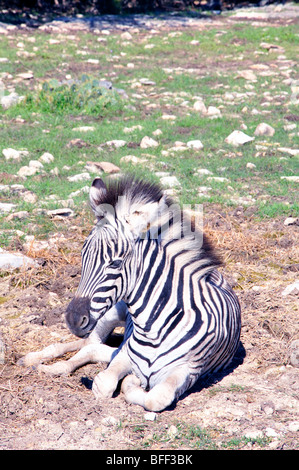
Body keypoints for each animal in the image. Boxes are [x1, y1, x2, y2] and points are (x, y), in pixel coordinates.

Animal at [20, 176, 241, 412]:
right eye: (82, 256)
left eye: (115, 263)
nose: (73, 320)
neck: (152, 329)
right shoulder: (126, 355)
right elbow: (104, 383)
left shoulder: (189, 370)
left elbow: (156, 397)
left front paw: (133, 383)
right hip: (109, 315)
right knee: (88, 345)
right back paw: (38, 361)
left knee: (92, 347)